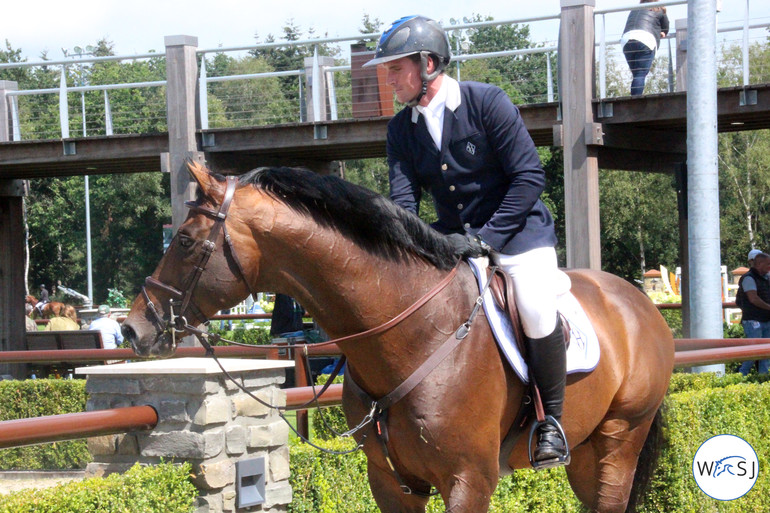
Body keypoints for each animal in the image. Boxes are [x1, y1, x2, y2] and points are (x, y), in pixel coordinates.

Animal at [121, 162, 672, 510]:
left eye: (185, 241)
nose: (134, 326)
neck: (415, 334)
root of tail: (636, 299)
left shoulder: (468, 481)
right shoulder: (391, 482)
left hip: (620, 439)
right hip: (587, 452)